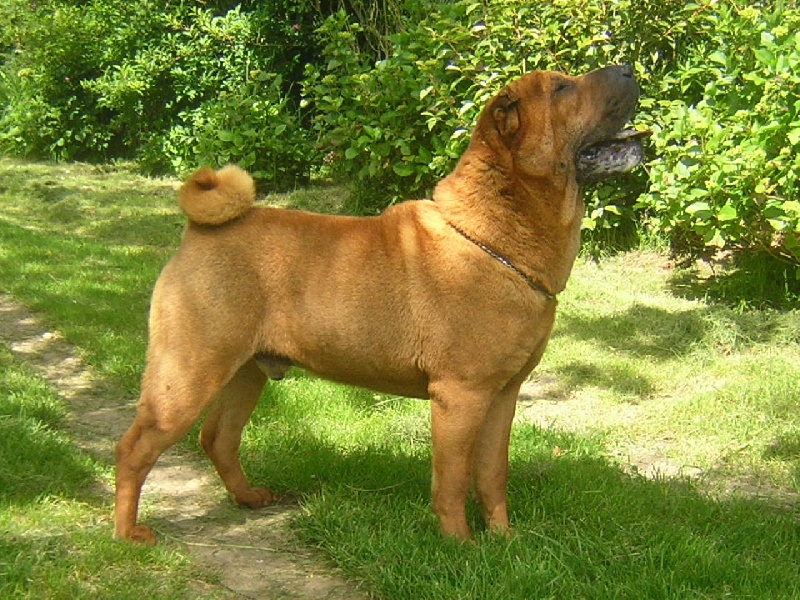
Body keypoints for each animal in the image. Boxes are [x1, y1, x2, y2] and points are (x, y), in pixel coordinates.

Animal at [115, 65, 644, 544]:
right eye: (562, 89)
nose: (627, 68)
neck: (492, 239)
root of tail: (199, 230)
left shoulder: (503, 395)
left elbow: (493, 475)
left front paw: (504, 540)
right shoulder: (460, 395)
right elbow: (453, 480)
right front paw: (461, 546)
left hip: (246, 371)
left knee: (218, 438)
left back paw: (249, 499)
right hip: (187, 373)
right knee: (134, 448)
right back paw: (129, 534)